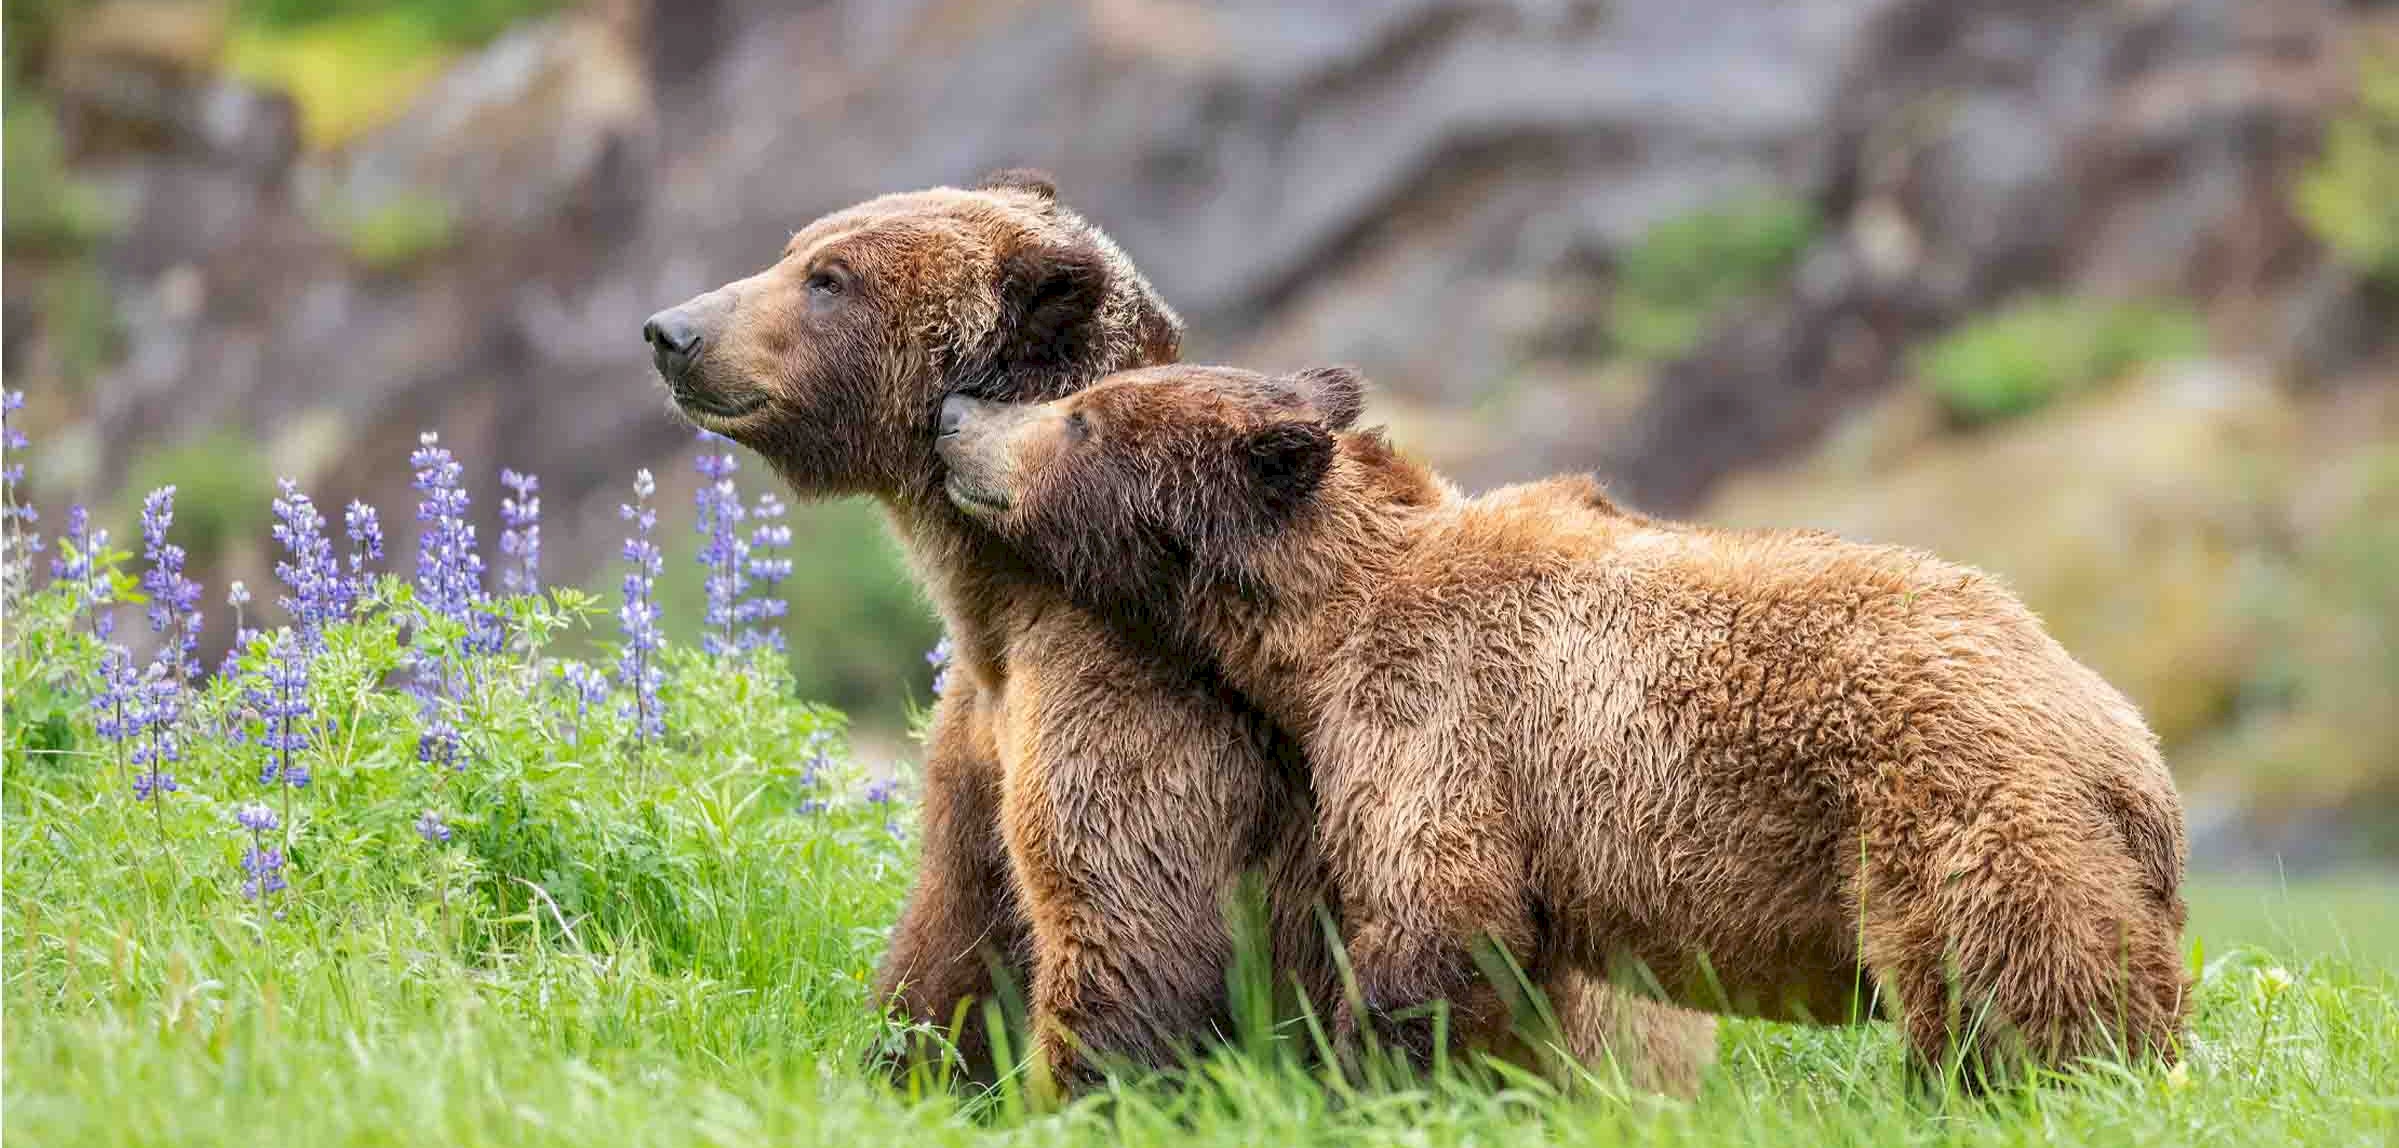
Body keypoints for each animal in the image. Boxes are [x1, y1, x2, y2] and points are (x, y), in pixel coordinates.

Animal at [640, 175, 1716, 1091]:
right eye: (797, 248)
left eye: (830, 278)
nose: (670, 329)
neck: (998, 601)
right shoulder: (977, 741)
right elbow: (950, 935)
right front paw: (898, 1066)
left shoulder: (1138, 704)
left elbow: (1127, 926)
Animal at [933, 362, 2193, 1086]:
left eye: (1078, 417)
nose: (953, 412)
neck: (1317, 629)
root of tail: (2130, 751)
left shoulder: (1433, 720)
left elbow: (1432, 920)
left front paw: (1371, 1077)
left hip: (1953, 812)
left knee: (2023, 1002)